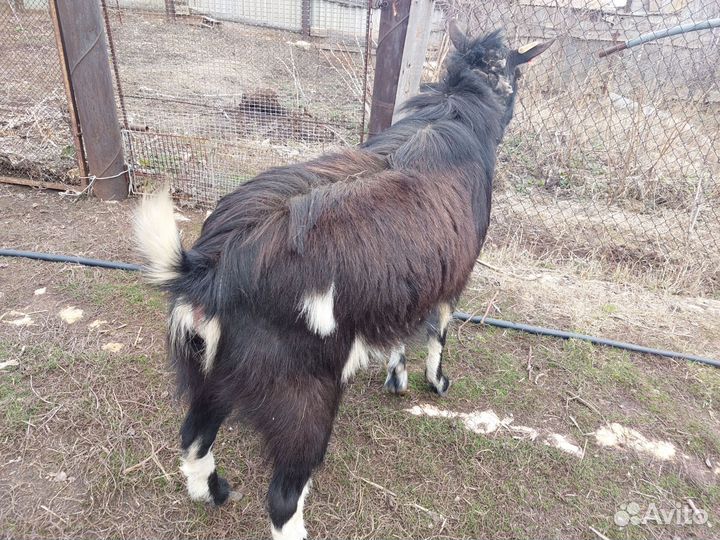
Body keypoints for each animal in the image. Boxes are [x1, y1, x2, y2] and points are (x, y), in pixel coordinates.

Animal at [135, 24, 552, 540]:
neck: (457, 109)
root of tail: (209, 272)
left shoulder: (406, 286)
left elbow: (402, 331)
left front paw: (397, 378)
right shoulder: (451, 281)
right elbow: (438, 332)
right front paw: (435, 382)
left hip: (208, 370)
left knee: (193, 438)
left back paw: (214, 492)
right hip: (302, 394)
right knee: (282, 497)